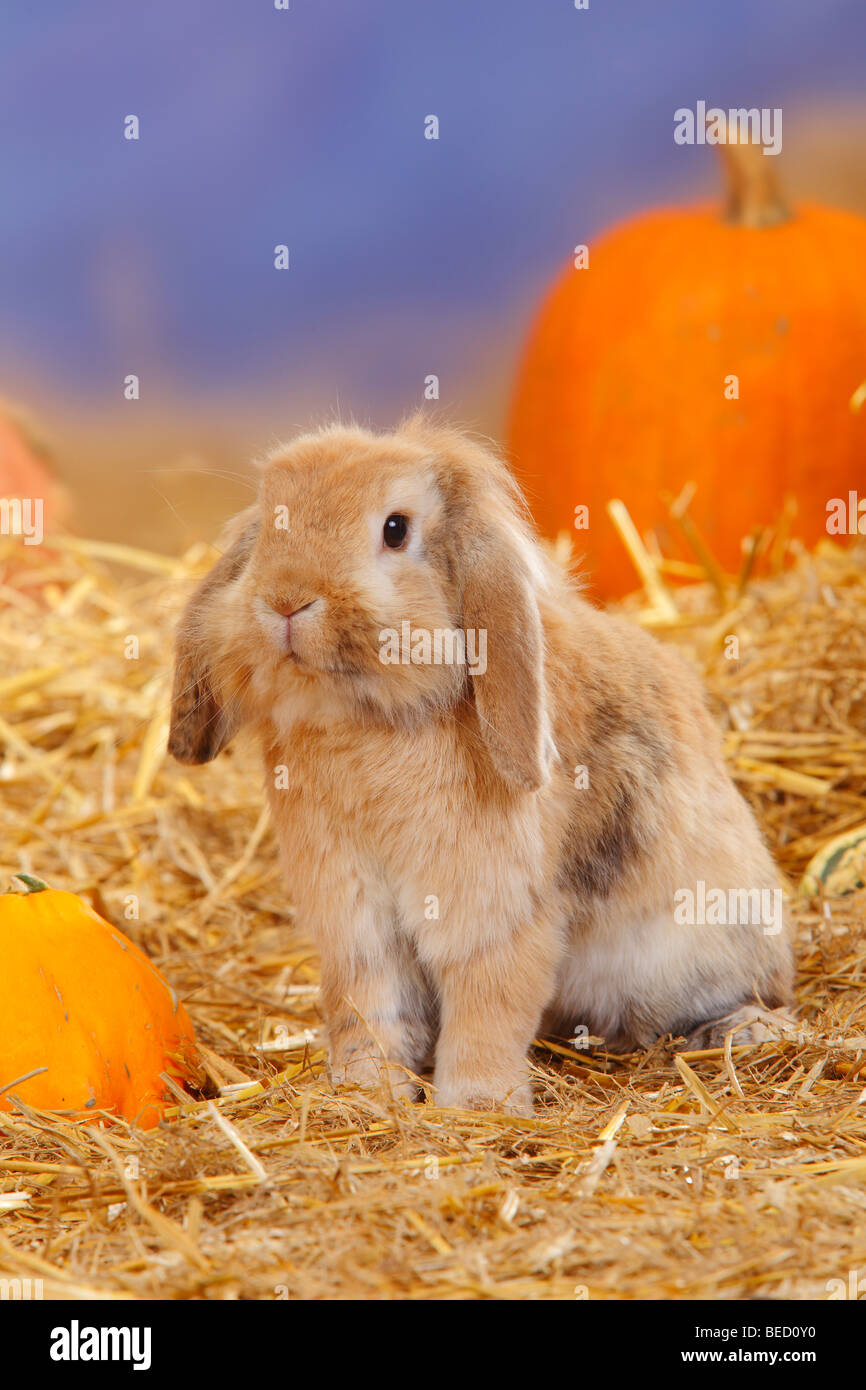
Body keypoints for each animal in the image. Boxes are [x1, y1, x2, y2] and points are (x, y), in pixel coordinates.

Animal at [168, 417, 794, 1114]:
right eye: (270, 520)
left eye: (395, 528)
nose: (286, 600)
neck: (367, 720)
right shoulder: (356, 921)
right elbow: (368, 1005)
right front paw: (365, 1093)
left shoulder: (492, 911)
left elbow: (488, 1002)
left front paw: (475, 1104)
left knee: (746, 997)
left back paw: (746, 1031)